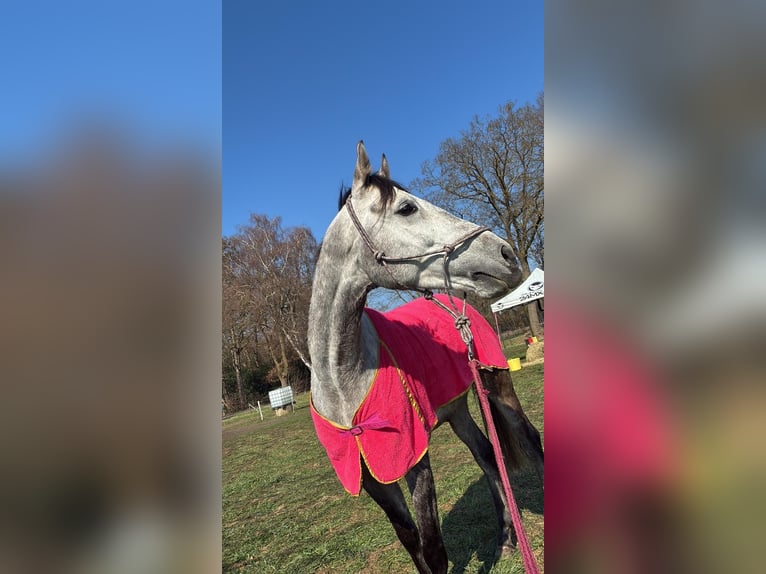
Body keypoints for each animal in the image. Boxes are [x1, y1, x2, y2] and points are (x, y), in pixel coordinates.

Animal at [308, 141, 544, 574]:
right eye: (406, 208)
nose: (505, 253)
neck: (345, 379)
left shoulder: (415, 460)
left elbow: (434, 549)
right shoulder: (372, 476)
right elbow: (413, 544)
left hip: (497, 386)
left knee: (529, 441)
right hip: (457, 411)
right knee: (487, 456)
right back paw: (506, 537)